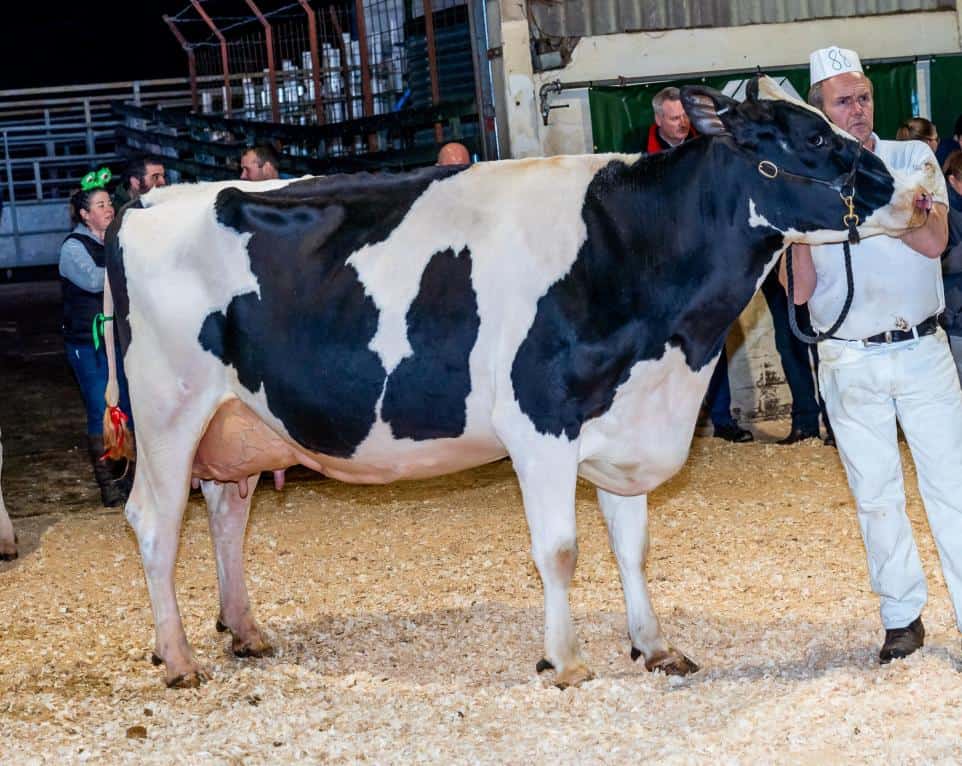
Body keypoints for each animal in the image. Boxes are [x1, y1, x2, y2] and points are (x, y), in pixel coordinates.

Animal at [107, 78, 936, 688]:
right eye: (812, 138)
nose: (913, 193)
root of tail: (150, 200)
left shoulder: (623, 420)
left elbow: (633, 546)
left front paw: (653, 647)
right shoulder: (541, 421)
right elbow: (561, 549)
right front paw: (564, 662)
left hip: (235, 421)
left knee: (225, 513)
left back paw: (244, 631)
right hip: (167, 408)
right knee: (154, 521)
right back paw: (177, 659)